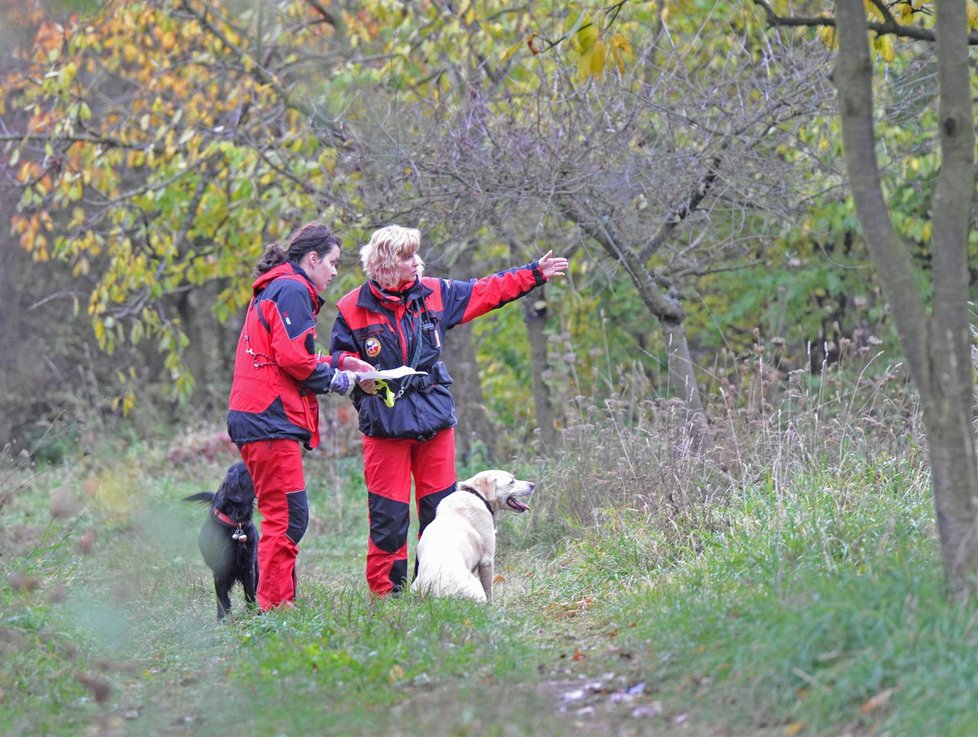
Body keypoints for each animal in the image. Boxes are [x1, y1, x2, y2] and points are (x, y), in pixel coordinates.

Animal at [183, 462, 258, 620]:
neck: (236, 525)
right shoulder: (220, 569)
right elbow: (222, 597)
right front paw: (223, 619)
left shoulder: (249, 564)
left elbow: (250, 591)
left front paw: (254, 613)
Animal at [410, 472, 532, 604]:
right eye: (511, 481)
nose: (533, 484)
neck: (476, 495)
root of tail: (435, 594)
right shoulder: (487, 560)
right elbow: (489, 589)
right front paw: (492, 606)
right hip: (476, 586)